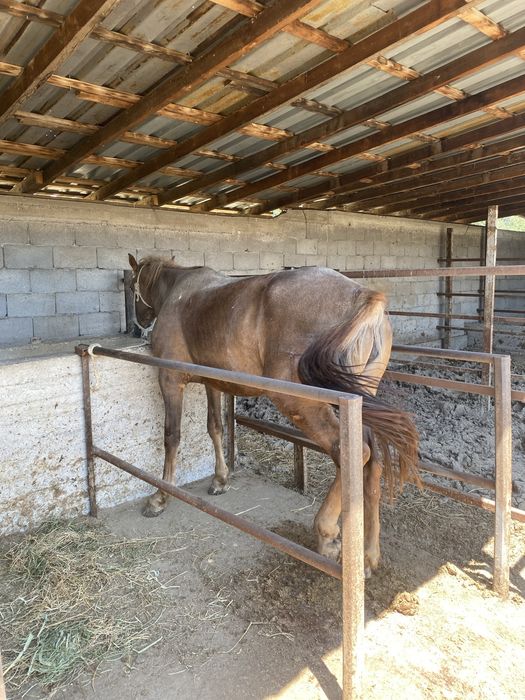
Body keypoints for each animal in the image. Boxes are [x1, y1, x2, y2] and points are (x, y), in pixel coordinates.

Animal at [128, 254, 419, 576]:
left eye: (130, 285)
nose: (137, 326)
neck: (180, 292)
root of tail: (362, 296)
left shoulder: (169, 380)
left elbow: (172, 437)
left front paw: (160, 497)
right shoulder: (212, 382)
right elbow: (215, 427)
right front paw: (220, 479)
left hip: (304, 404)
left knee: (350, 452)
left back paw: (327, 533)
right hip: (360, 403)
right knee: (372, 462)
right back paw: (368, 555)